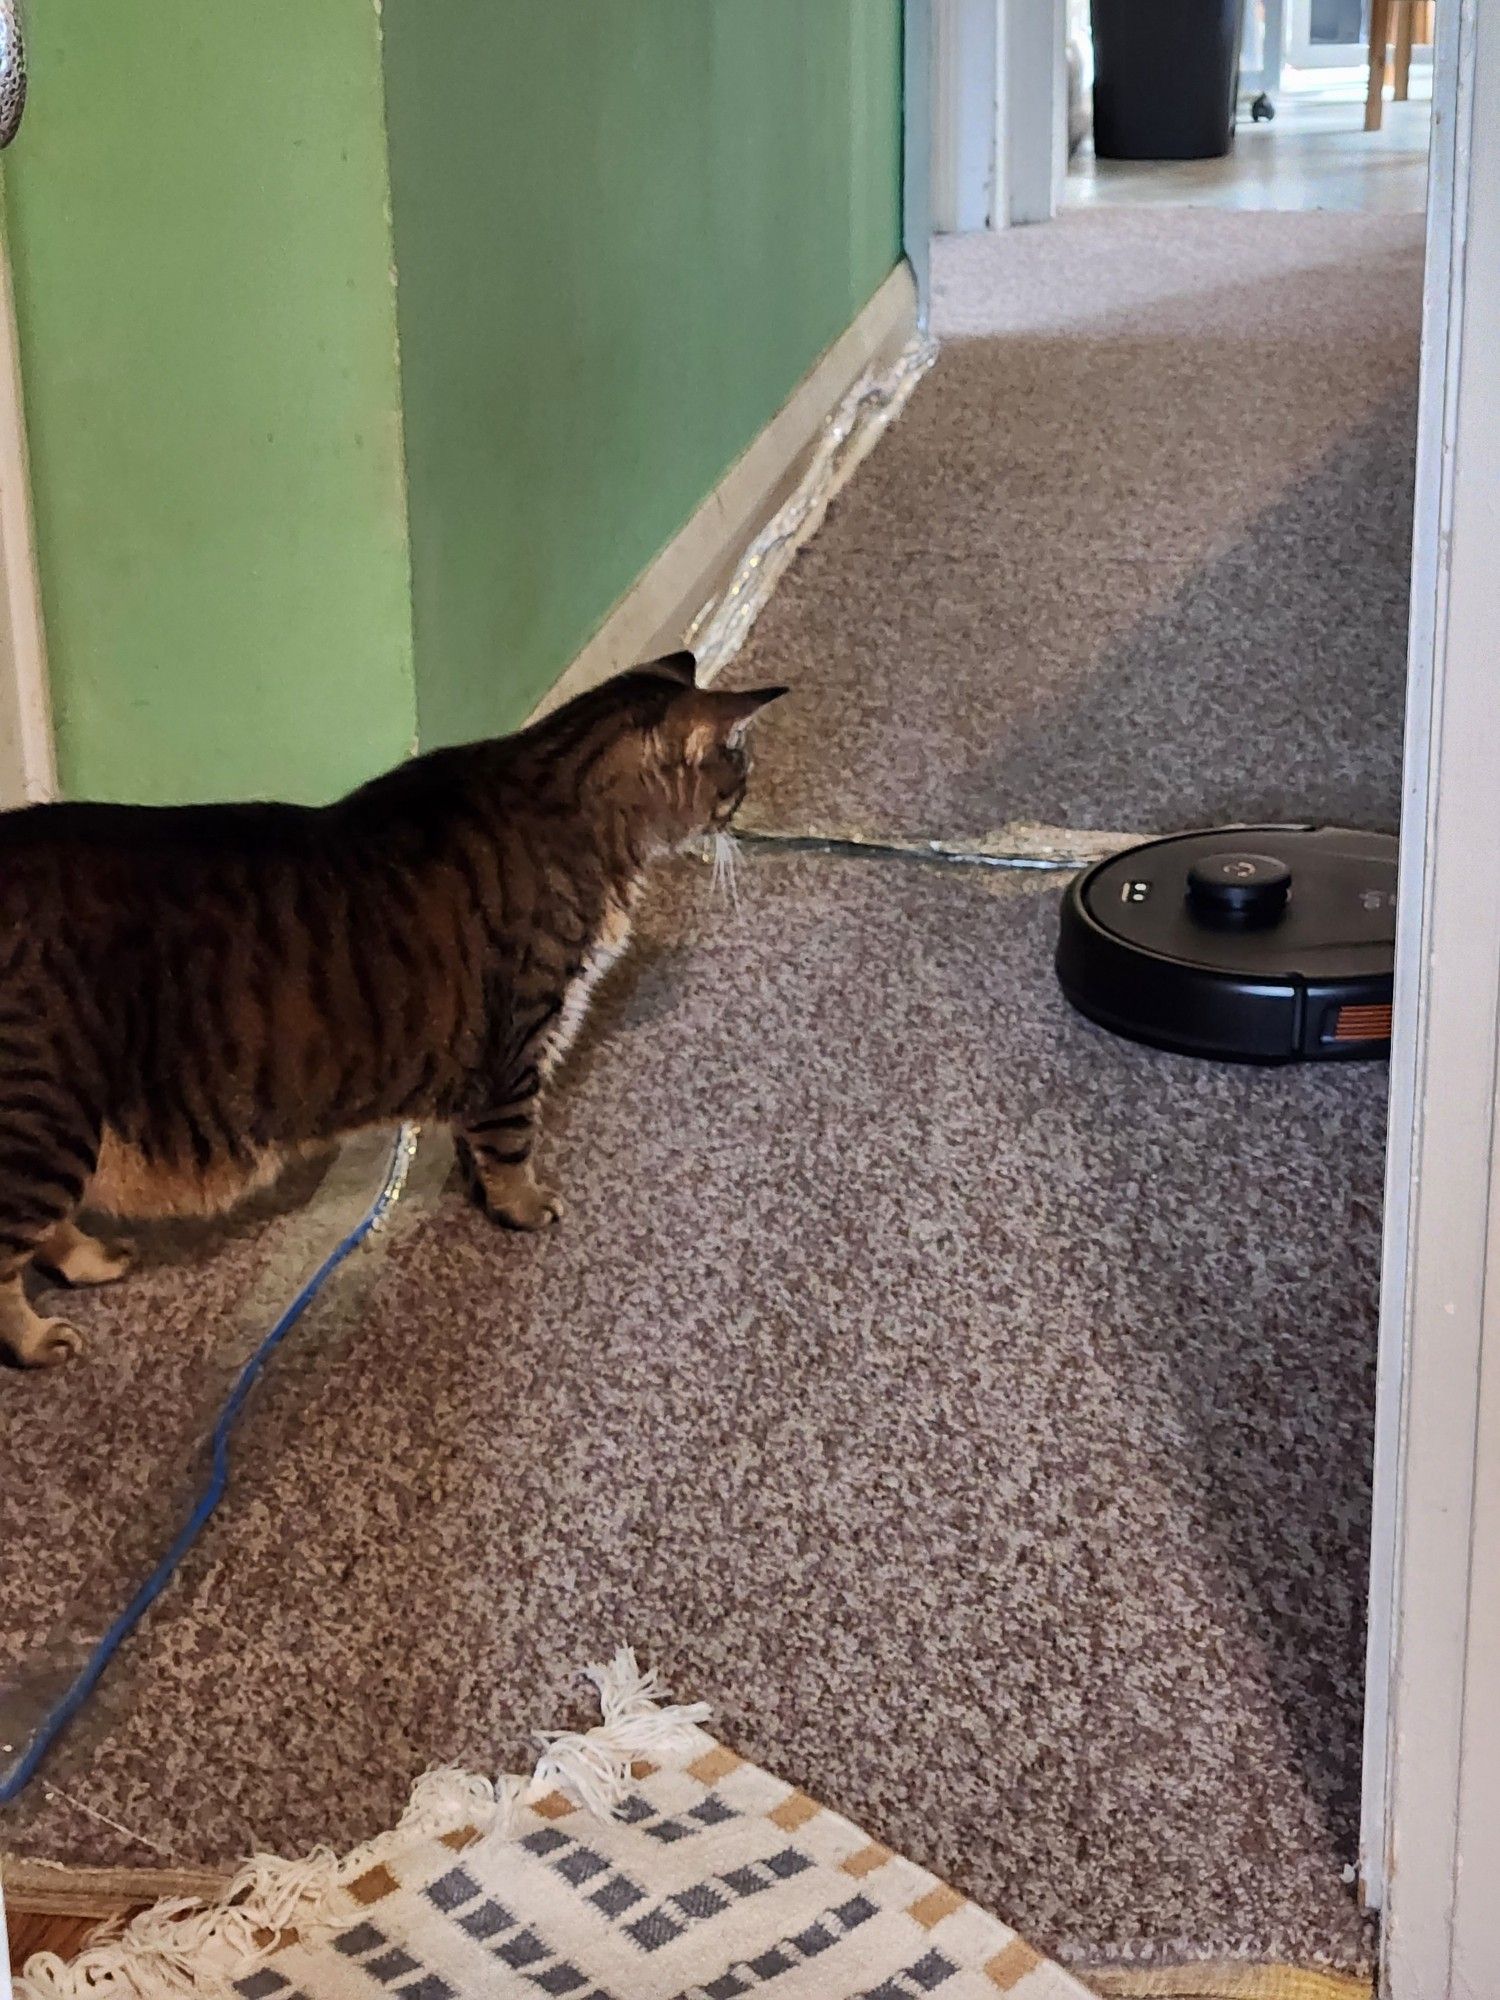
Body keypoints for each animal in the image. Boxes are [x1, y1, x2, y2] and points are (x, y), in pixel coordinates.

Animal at [2, 648, 788, 1368]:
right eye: (737, 778)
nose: (742, 818)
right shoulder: (522, 1038)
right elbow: (513, 1144)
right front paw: (524, 1207)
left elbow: (479, 1144)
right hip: (47, 1120)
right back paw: (38, 1340)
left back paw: (92, 1260)